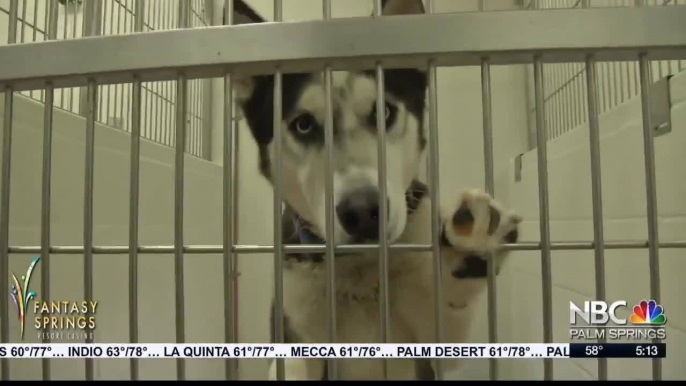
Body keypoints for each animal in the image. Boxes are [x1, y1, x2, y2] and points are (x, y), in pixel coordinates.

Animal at [230, 0, 520, 380]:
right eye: (303, 125)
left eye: (384, 111)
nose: (362, 212)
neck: (361, 267)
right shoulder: (293, 332)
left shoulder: (437, 343)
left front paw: (470, 248)